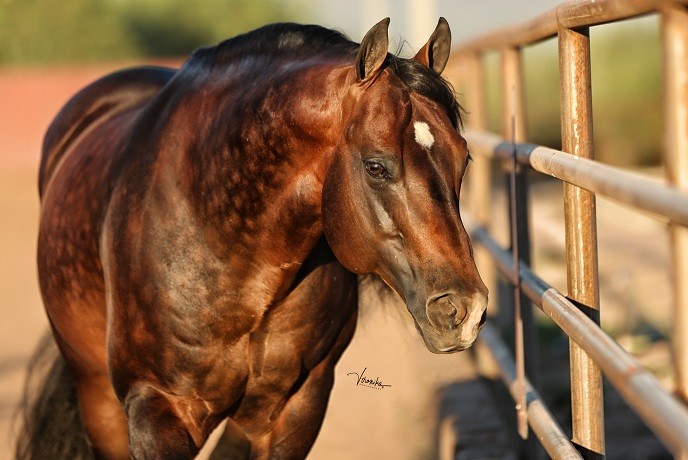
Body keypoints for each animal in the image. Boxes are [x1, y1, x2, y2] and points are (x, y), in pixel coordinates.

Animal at [17, 17, 488, 459]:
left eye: (464, 158)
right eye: (376, 166)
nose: (464, 310)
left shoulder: (295, 409)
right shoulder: (156, 411)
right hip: (100, 404)